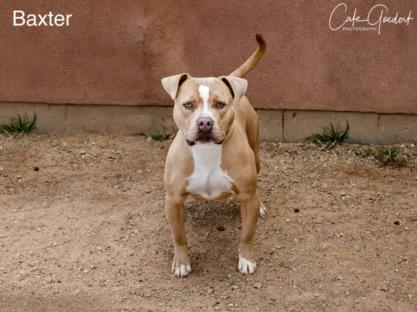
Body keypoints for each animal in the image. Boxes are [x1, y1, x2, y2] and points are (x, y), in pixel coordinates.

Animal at [161, 34, 264, 278]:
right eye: (188, 104)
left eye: (220, 104)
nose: (205, 123)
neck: (206, 151)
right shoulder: (173, 200)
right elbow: (179, 236)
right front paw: (181, 262)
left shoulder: (248, 196)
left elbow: (247, 234)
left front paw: (246, 259)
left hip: (255, 154)